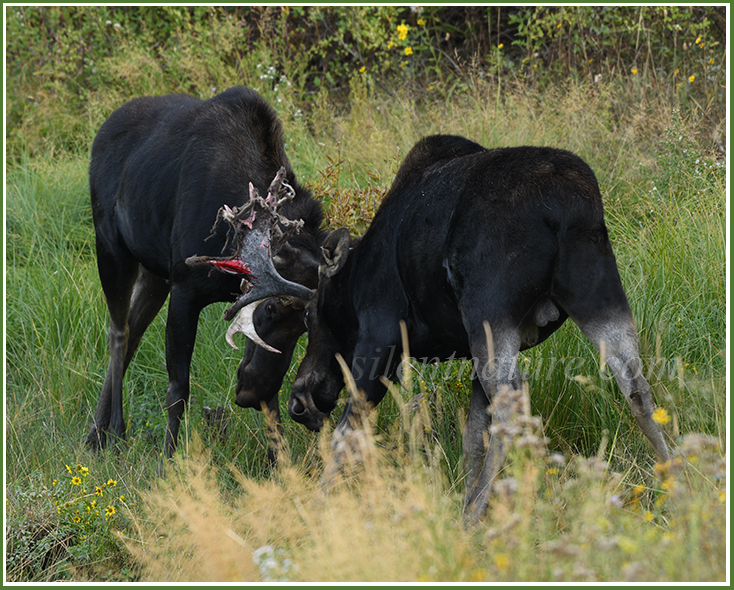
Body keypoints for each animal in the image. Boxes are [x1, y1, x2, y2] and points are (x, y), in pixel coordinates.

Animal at [87, 86, 325, 459]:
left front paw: (280, 460)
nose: (249, 394)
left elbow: (272, 402)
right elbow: (177, 390)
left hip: (155, 273)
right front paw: (168, 460)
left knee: (133, 332)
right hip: (111, 246)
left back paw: (95, 433)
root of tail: (102, 130)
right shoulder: (186, 290)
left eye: (304, 327)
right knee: (119, 333)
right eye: (270, 308)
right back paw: (114, 431)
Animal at [261, 134, 671, 521]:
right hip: (597, 291)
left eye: (310, 315)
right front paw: (465, 493)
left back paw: (474, 516)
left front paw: (318, 508)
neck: (354, 275)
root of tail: (562, 209)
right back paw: (673, 480)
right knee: (636, 386)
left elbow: (348, 431)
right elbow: (473, 435)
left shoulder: (381, 336)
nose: (299, 400)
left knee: (511, 406)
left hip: (489, 309)